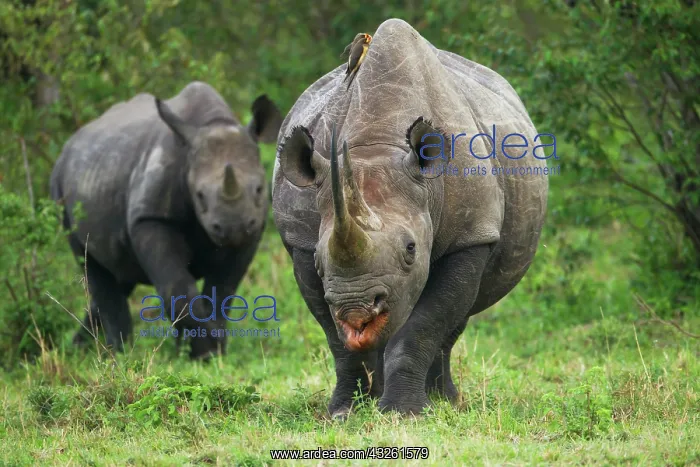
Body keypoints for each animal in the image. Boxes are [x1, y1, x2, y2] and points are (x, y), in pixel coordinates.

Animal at [50, 81, 282, 359]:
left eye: (259, 189)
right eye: (199, 195)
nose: (233, 227)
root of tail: (68, 145)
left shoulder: (254, 229)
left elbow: (224, 288)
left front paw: (210, 352)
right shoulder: (150, 218)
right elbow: (176, 288)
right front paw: (202, 352)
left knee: (118, 272)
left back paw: (81, 351)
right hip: (59, 190)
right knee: (90, 264)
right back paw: (119, 354)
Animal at [272, 19, 549, 415]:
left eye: (410, 250)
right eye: (319, 262)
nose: (356, 309)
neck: (375, 143)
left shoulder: (471, 234)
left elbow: (425, 325)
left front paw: (403, 412)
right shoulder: (301, 242)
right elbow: (337, 340)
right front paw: (344, 412)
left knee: (455, 319)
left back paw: (444, 401)